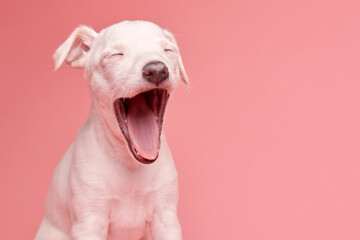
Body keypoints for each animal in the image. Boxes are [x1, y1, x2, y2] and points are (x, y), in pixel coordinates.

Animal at [34, 20, 188, 240]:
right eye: (116, 55)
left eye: (168, 50)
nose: (157, 70)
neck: (129, 163)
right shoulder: (89, 223)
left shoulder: (166, 219)